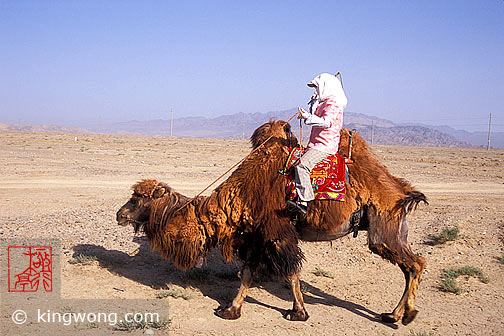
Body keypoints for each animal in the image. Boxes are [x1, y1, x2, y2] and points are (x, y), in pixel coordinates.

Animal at [116, 119, 428, 324]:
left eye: (137, 198)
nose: (119, 214)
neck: (238, 196)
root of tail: (402, 190)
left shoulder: (276, 231)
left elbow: (290, 273)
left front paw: (298, 313)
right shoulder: (255, 235)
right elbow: (247, 273)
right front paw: (230, 310)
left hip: (382, 225)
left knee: (413, 263)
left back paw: (404, 315)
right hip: (394, 229)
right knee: (413, 264)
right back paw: (395, 314)